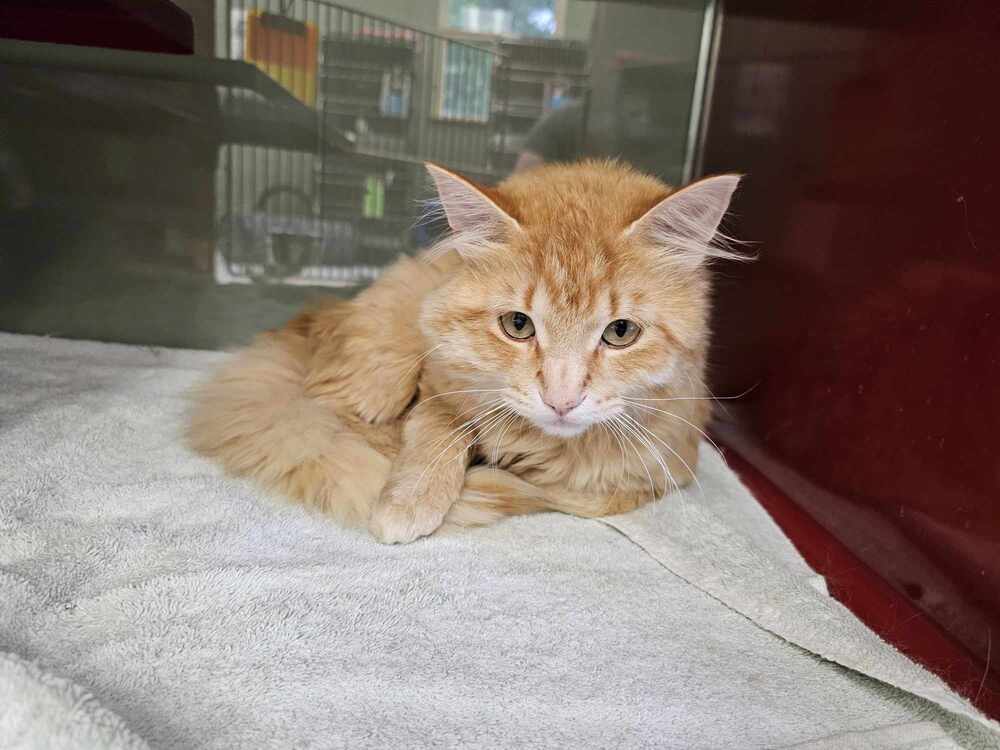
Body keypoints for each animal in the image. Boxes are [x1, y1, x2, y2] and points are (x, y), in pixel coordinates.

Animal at [188, 162, 740, 544]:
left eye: (620, 332)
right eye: (518, 325)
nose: (561, 401)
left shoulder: (653, 475)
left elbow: (570, 493)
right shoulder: (436, 386)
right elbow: (437, 435)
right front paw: (409, 501)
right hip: (377, 373)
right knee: (335, 416)